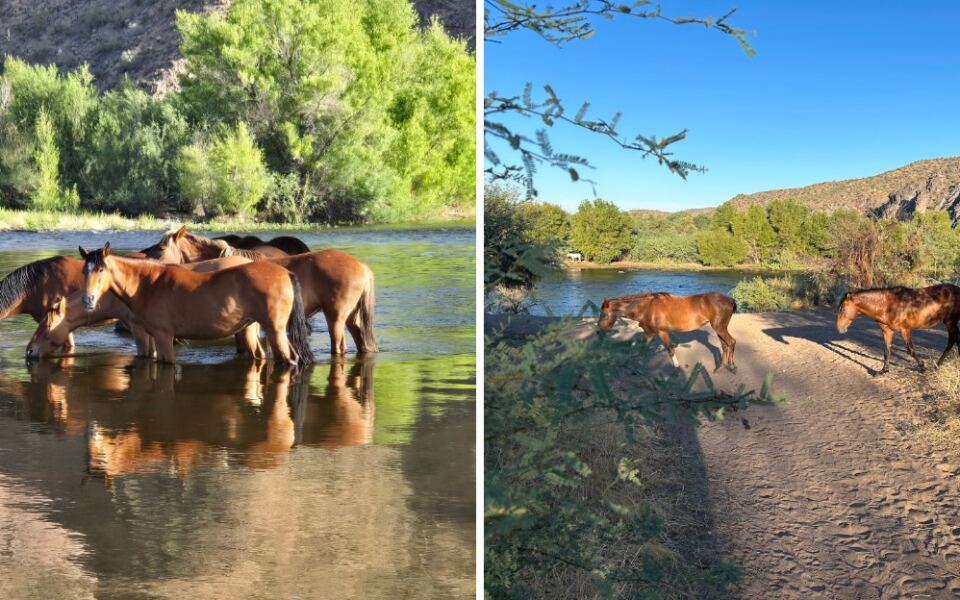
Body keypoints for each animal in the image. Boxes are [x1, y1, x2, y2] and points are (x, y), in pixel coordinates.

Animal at [79, 243, 313, 365]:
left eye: (101, 269)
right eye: (84, 270)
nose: (87, 300)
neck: (149, 283)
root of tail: (285, 272)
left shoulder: (164, 337)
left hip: (275, 331)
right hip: (250, 329)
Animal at [598, 291, 737, 371]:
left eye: (604, 314)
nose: (600, 329)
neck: (648, 307)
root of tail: (729, 300)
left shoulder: (662, 332)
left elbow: (670, 348)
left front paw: (676, 367)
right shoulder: (649, 333)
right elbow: (643, 348)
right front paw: (638, 365)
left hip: (720, 328)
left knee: (731, 342)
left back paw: (732, 366)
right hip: (719, 329)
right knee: (724, 346)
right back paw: (721, 367)